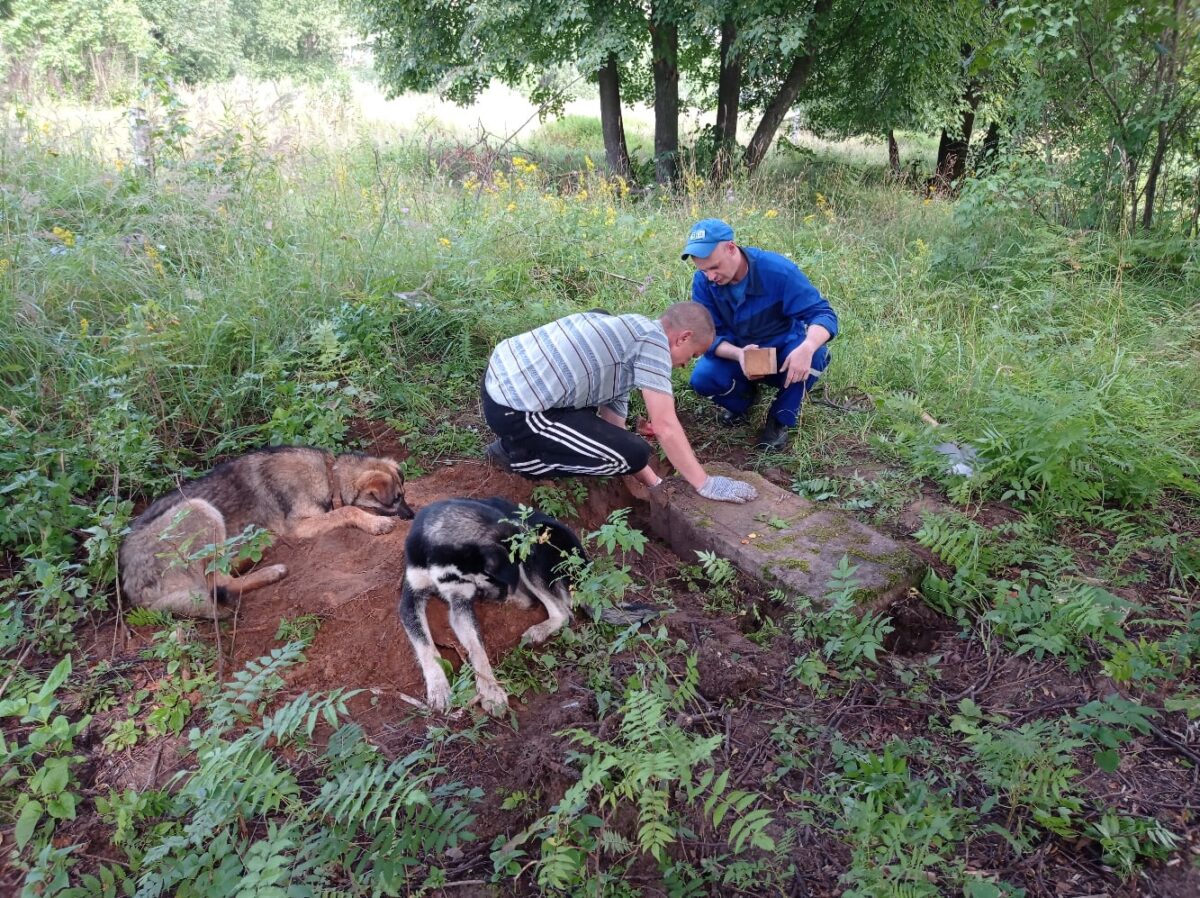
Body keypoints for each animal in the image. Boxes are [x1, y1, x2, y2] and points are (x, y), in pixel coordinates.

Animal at [120, 444, 415, 614]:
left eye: (404, 495)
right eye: (395, 500)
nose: (412, 516)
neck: (329, 474)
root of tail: (132, 588)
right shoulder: (299, 526)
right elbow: (347, 510)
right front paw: (375, 522)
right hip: (199, 508)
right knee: (219, 582)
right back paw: (271, 570)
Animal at [398, 497, 585, 715]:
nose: (496, 594)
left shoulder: (462, 598)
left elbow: (477, 649)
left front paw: (491, 690)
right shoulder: (411, 598)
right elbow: (426, 647)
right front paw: (438, 687)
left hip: (532, 562)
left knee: (561, 612)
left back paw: (536, 628)